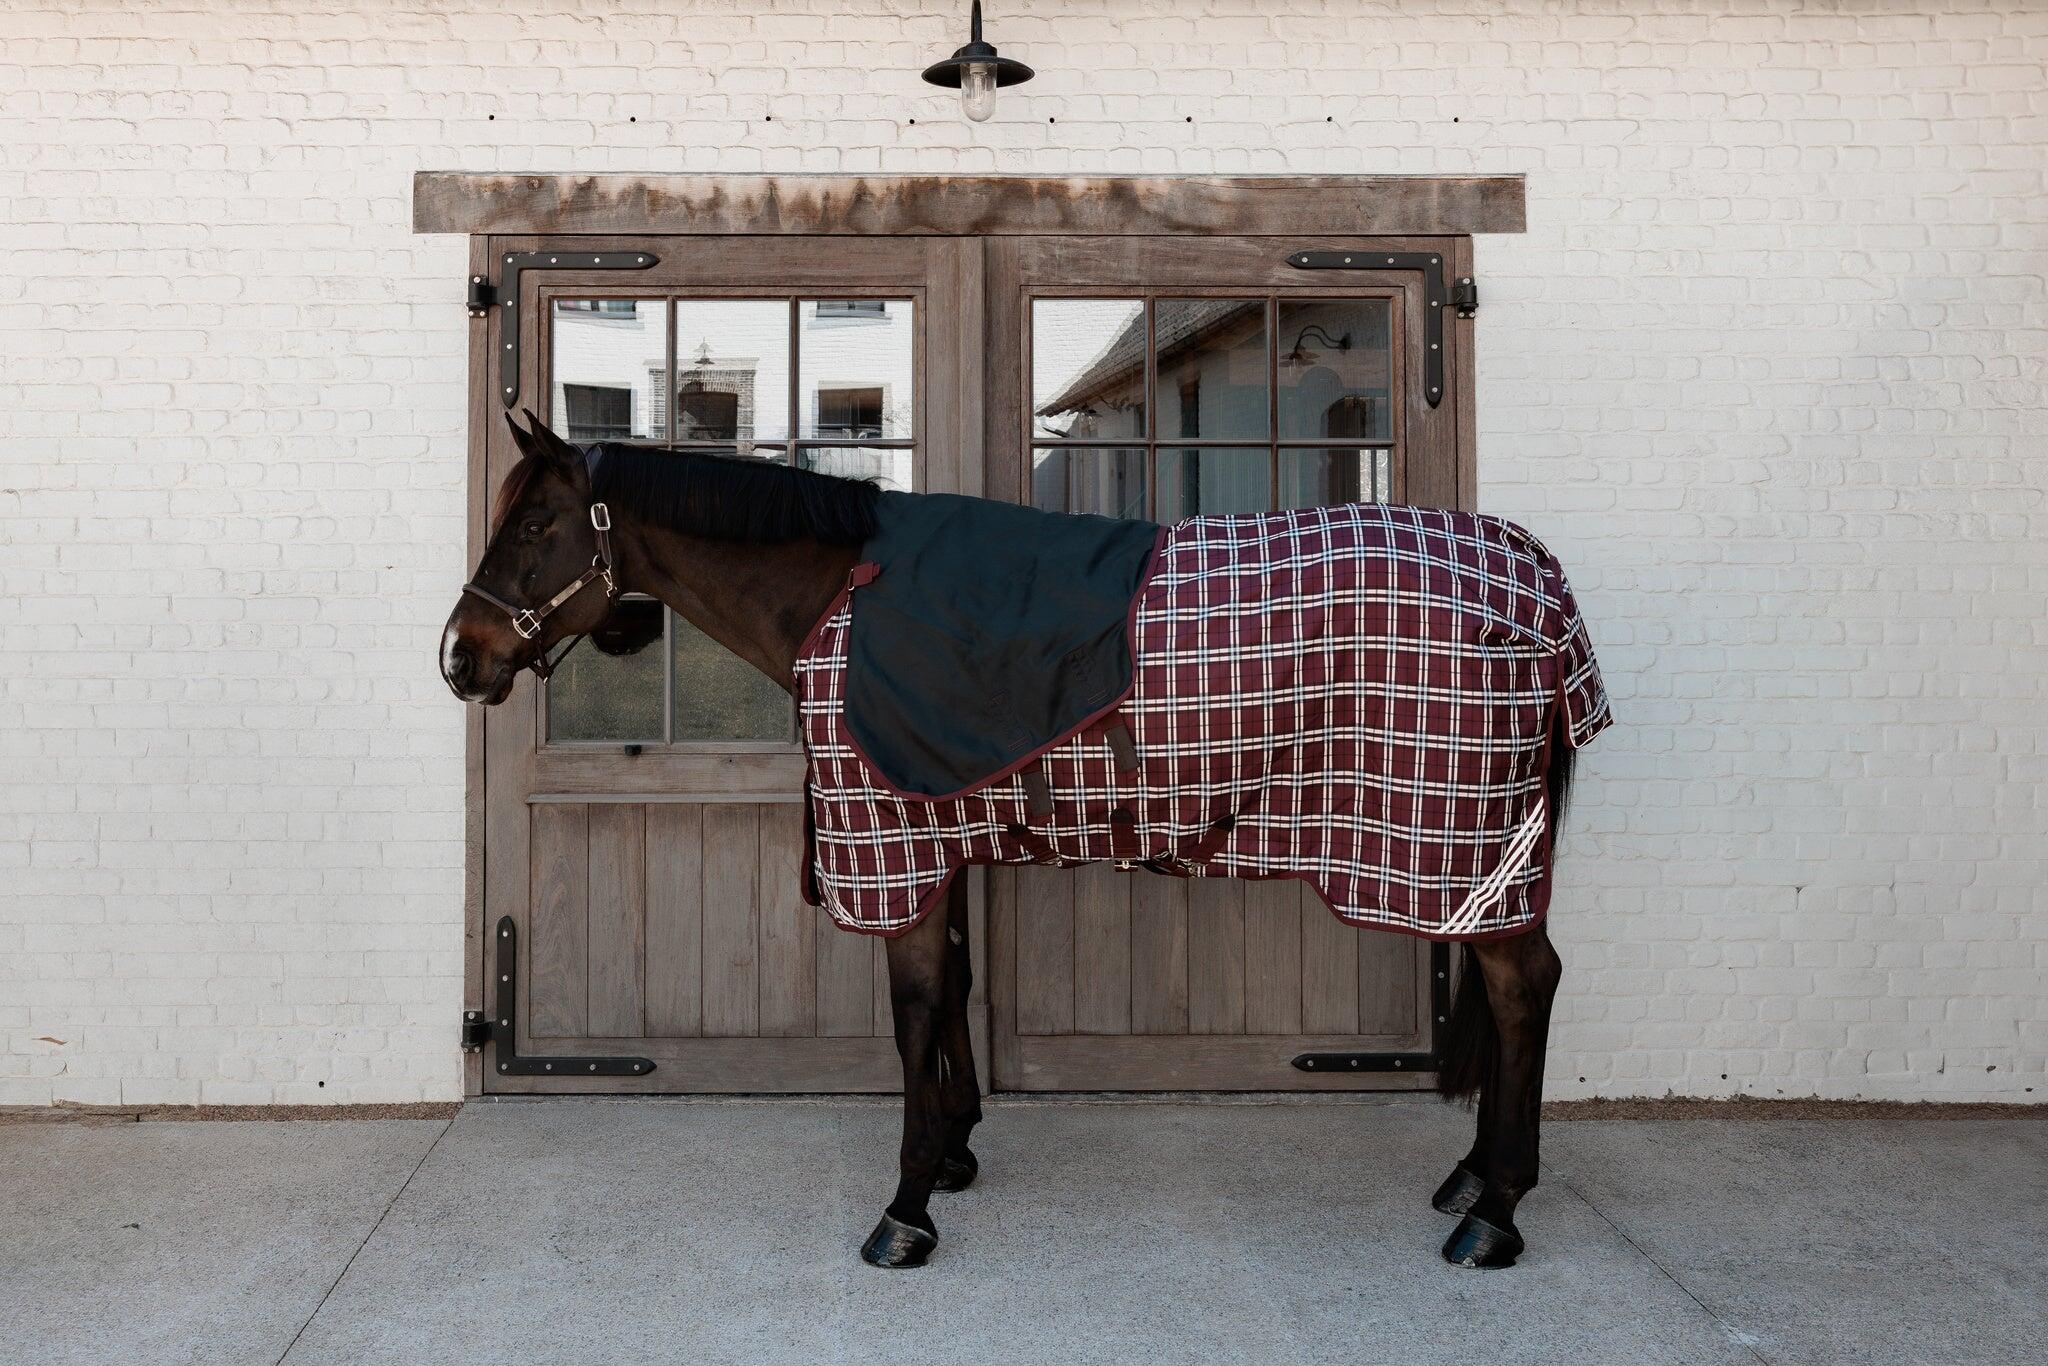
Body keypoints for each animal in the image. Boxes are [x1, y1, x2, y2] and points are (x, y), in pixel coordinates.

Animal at [442, 411, 1607, 1271]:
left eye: (535, 527)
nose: (461, 655)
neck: (841, 598)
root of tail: (1538, 577)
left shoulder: (896, 841)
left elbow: (915, 1011)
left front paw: (906, 1205)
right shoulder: (941, 838)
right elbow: (955, 988)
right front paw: (955, 1152)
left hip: (1467, 844)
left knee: (1524, 985)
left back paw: (1494, 1212)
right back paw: (1473, 1176)